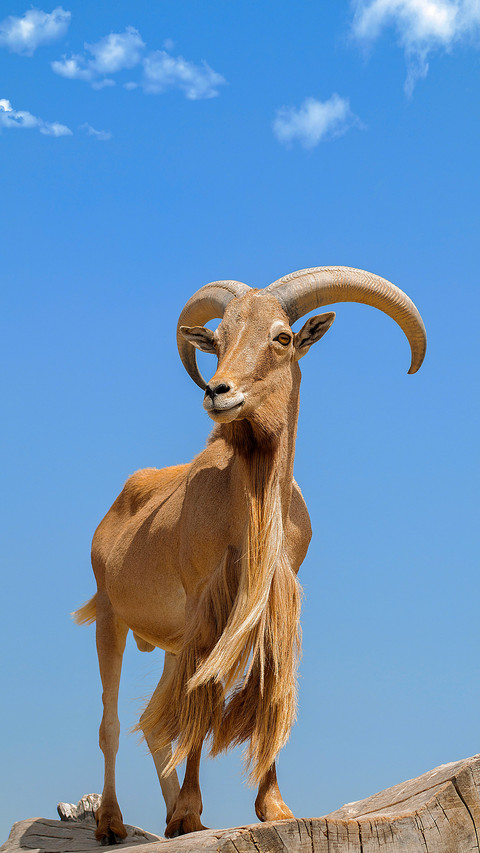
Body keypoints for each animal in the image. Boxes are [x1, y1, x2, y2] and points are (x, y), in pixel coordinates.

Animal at [75, 266, 426, 841]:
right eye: (217, 340)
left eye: (282, 338)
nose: (218, 392)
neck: (251, 508)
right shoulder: (207, 605)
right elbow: (207, 693)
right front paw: (192, 809)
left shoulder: (267, 605)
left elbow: (265, 689)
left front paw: (273, 808)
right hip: (111, 616)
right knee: (112, 722)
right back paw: (112, 821)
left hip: (168, 643)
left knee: (153, 722)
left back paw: (172, 822)